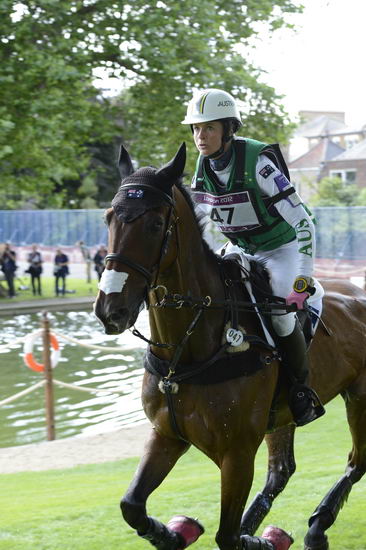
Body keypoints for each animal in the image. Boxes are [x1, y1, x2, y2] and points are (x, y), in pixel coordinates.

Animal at [93, 143, 366, 550]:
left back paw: (316, 527)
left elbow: (226, 535)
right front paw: (171, 534)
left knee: (356, 460)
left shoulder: (237, 454)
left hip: (360, 397)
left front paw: (247, 539)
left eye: (155, 224)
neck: (187, 352)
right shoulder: (166, 435)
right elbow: (132, 505)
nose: (111, 309)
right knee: (281, 471)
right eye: (109, 218)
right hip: (284, 416)